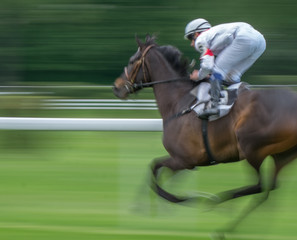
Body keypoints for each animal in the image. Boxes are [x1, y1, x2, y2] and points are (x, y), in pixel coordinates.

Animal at [111, 35, 296, 238]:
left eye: (132, 61)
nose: (116, 87)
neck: (179, 101)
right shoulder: (184, 161)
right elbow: (155, 170)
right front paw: (142, 205)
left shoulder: (184, 160)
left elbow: (154, 172)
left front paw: (183, 199)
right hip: (282, 154)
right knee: (269, 188)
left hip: (251, 148)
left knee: (261, 185)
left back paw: (218, 205)